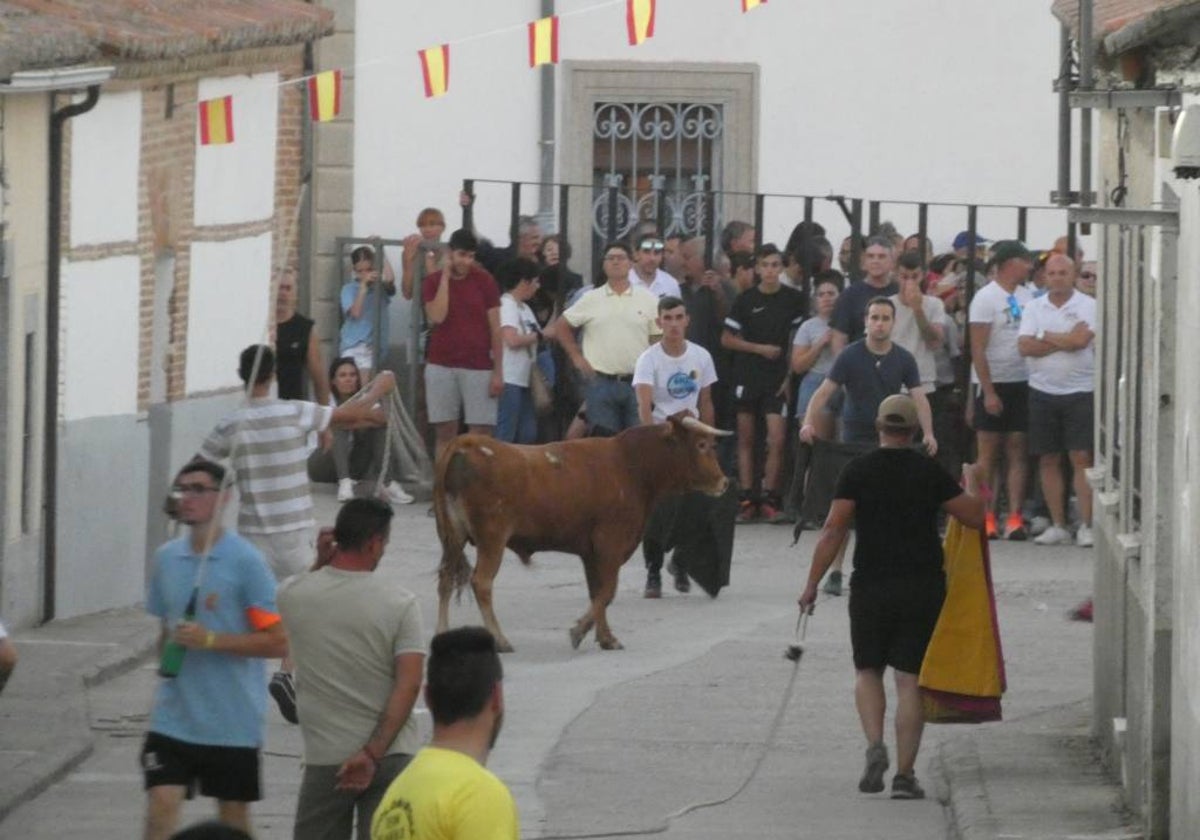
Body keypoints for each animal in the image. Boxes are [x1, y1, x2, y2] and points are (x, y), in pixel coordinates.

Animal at [434, 417, 724, 648]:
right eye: (701, 445)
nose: (724, 481)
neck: (629, 466)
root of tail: (466, 442)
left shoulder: (590, 552)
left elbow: (597, 592)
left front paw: (605, 638)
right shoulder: (610, 545)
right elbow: (608, 591)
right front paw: (580, 631)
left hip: (453, 537)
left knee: (446, 578)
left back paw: (442, 633)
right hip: (492, 538)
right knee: (481, 582)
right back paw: (501, 640)